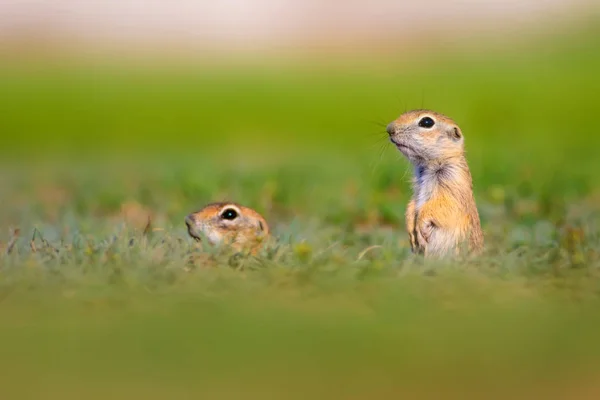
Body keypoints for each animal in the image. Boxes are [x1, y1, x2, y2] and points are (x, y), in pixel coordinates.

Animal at [386, 109, 486, 256]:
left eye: (427, 122)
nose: (389, 129)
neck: (428, 166)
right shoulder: (417, 189)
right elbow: (412, 204)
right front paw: (411, 230)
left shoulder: (453, 183)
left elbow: (441, 206)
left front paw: (420, 227)